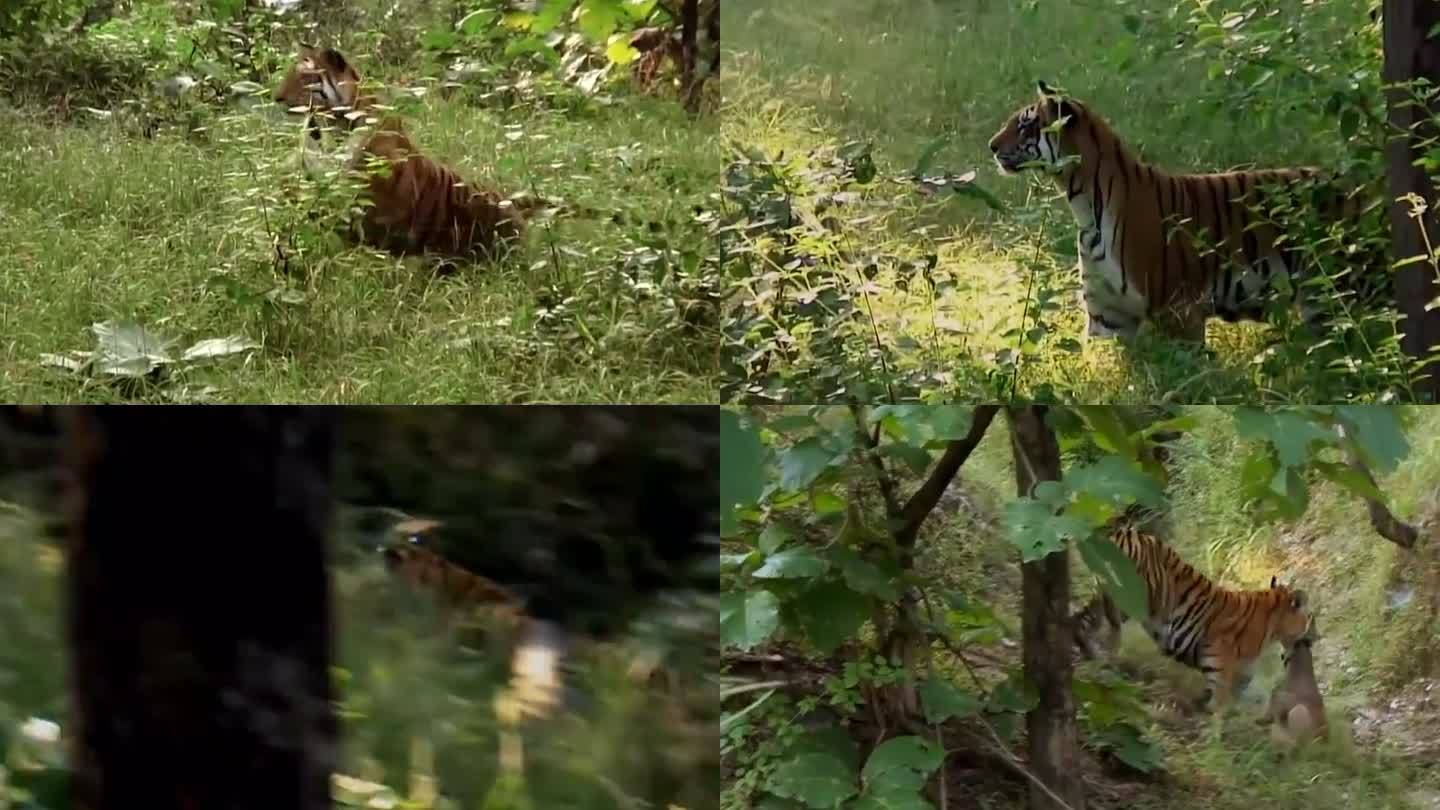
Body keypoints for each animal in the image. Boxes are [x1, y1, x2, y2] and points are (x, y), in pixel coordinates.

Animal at [1071, 524, 1319, 706]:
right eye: (1312, 618)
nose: (1318, 637)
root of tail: (1123, 532)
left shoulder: (1236, 672)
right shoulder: (1221, 667)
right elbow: (1219, 711)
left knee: (1079, 620)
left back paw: (1093, 660)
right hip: (1124, 599)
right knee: (1097, 627)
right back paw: (1103, 664)